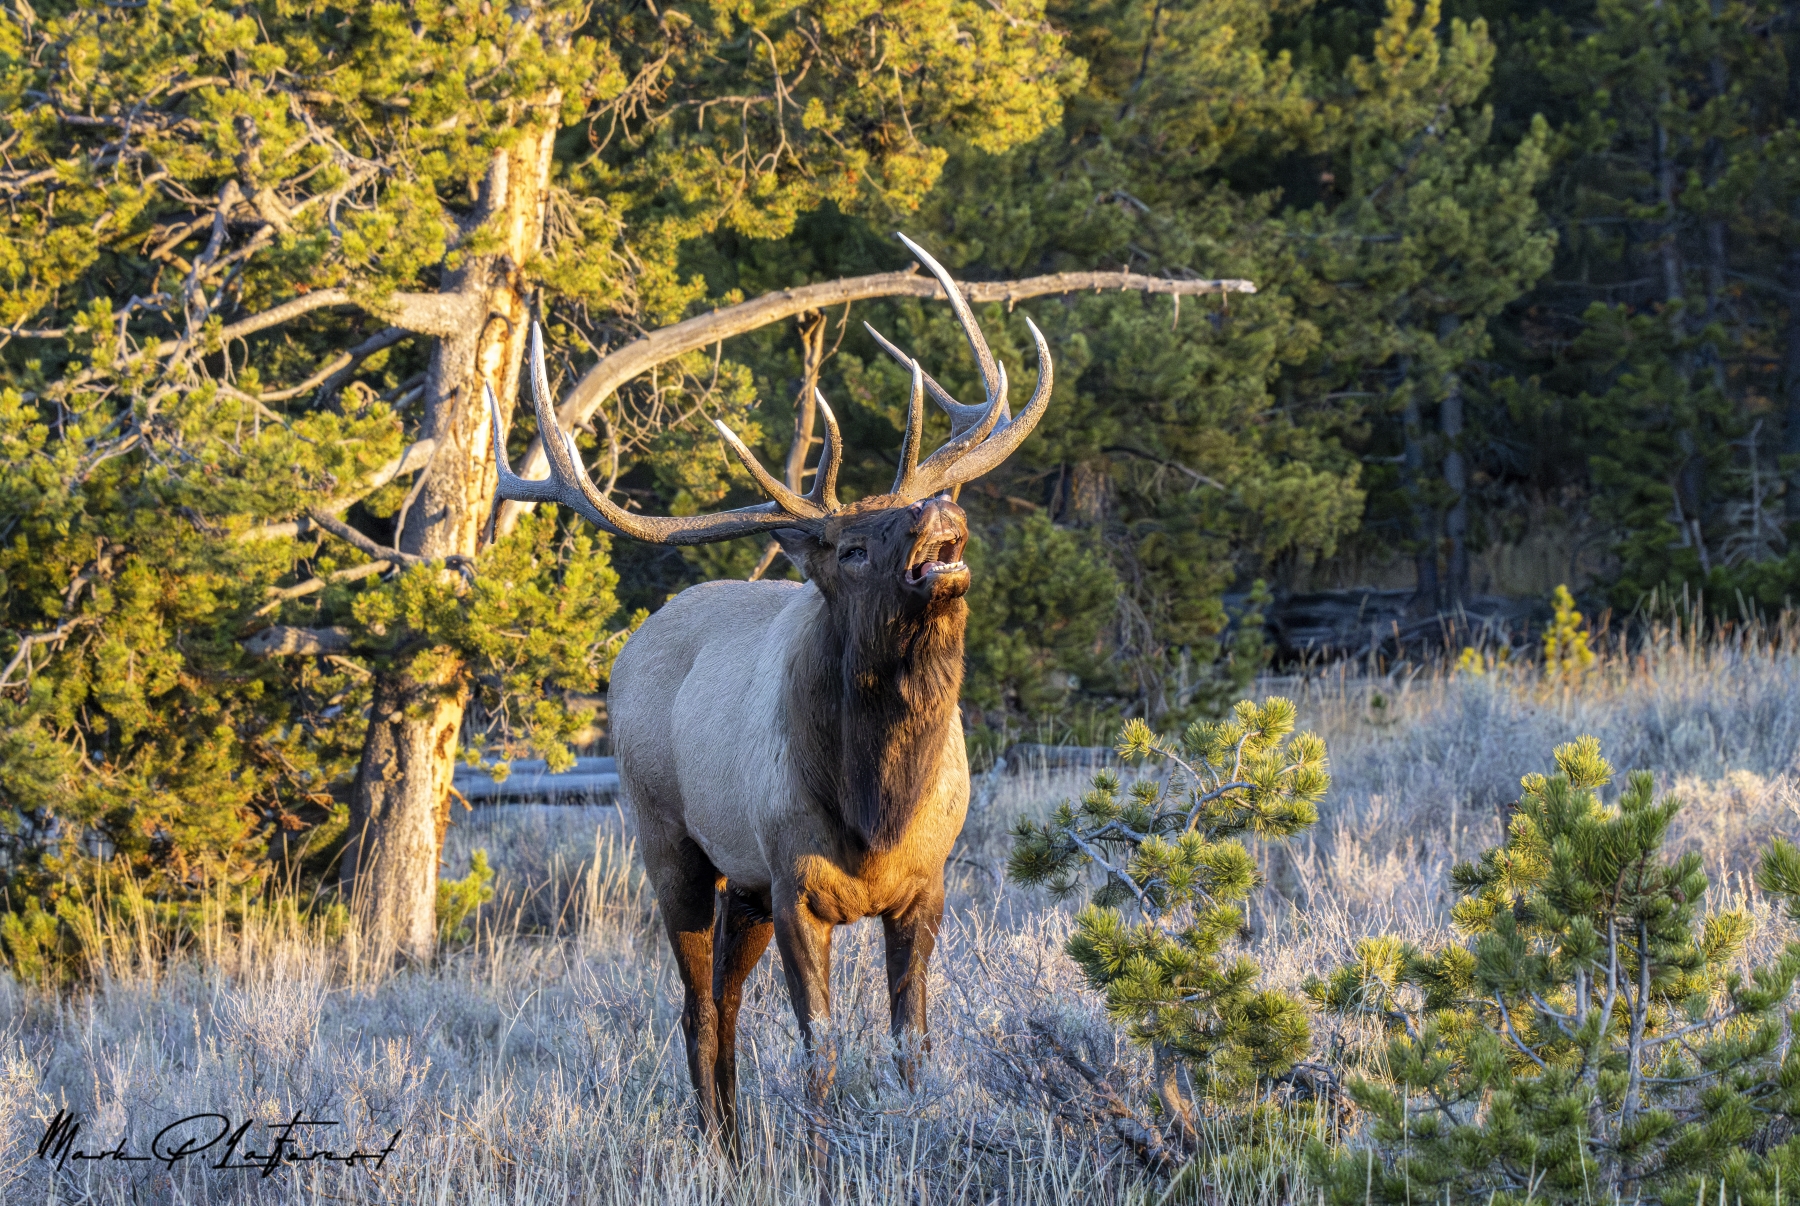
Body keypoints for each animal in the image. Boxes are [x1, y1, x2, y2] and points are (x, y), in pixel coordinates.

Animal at [484, 235, 1052, 1146]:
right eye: (849, 547)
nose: (937, 510)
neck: (877, 808)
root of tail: (636, 641)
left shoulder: (924, 886)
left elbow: (912, 1044)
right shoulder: (794, 888)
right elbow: (820, 1051)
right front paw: (817, 1158)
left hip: (740, 887)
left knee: (722, 998)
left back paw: (735, 1140)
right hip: (670, 842)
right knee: (697, 1006)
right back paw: (723, 1149)